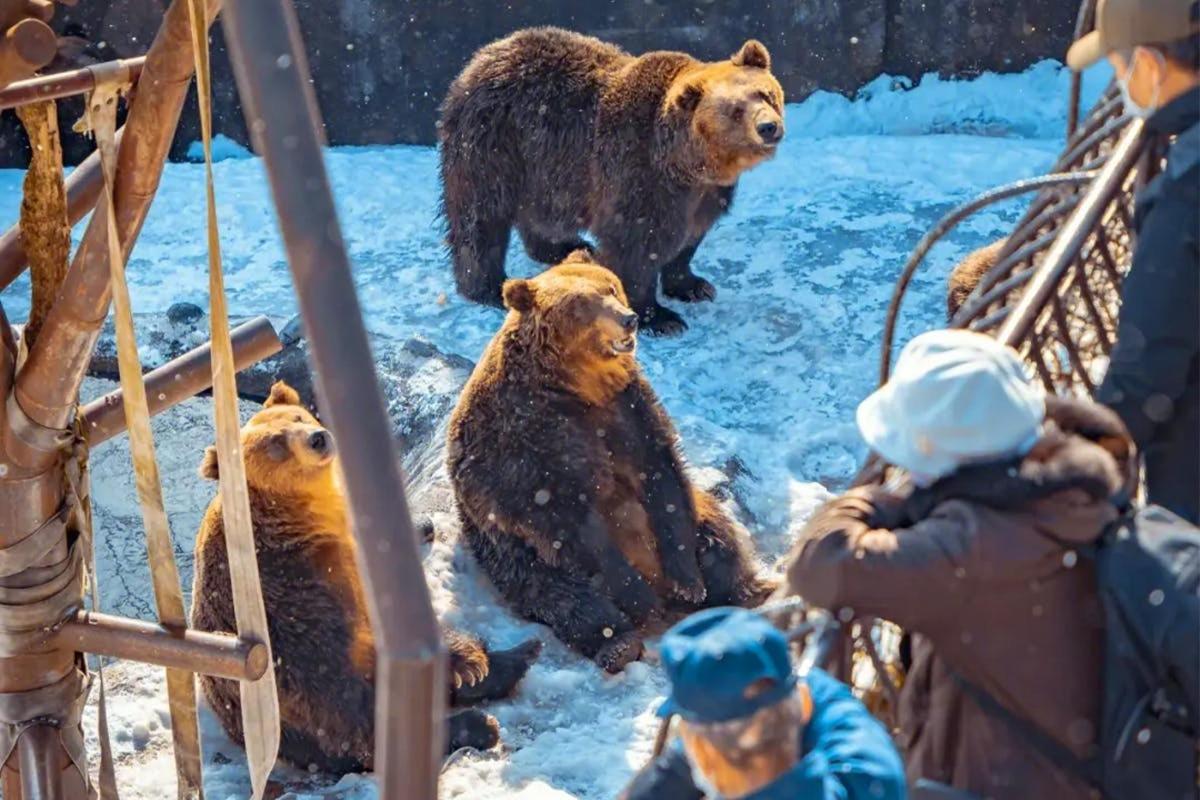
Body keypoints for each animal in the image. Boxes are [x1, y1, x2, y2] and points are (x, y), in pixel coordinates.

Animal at [192, 383, 540, 777]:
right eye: (276, 444)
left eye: (298, 417)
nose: (318, 438)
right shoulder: (293, 583)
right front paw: (468, 666)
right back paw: (478, 722)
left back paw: (518, 655)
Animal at [441, 27, 787, 335]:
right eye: (735, 110)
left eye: (766, 94)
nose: (769, 127)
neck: (684, 163)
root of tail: (476, 61)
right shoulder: (637, 172)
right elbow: (635, 246)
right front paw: (661, 318)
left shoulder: (707, 193)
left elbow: (689, 237)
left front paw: (693, 285)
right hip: (495, 142)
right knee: (481, 215)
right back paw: (489, 286)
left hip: (544, 169)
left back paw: (566, 245)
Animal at [446, 251, 772, 676]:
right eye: (582, 304)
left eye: (611, 287)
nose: (629, 319)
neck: (578, 387)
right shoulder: (526, 442)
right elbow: (565, 520)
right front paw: (638, 599)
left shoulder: (627, 408)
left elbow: (662, 475)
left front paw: (688, 581)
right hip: (518, 562)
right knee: (566, 597)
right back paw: (620, 642)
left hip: (700, 513)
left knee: (717, 535)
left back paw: (747, 592)